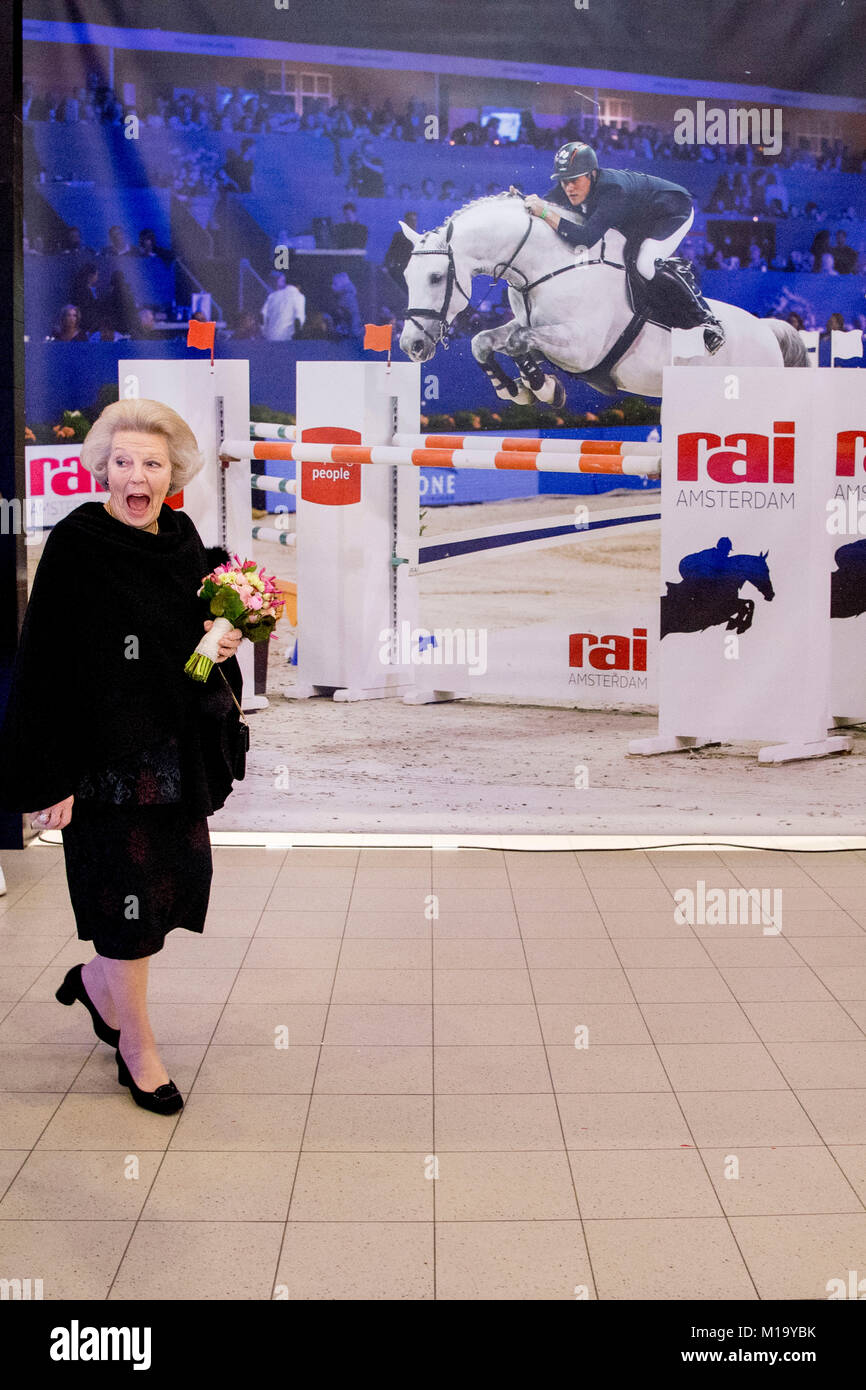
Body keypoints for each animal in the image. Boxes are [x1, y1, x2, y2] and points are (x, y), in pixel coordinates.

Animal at [397, 193, 811, 405]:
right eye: (405, 276)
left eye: (436, 277)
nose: (411, 345)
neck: (549, 265)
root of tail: (768, 331)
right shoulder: (535, 328)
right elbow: (485, 342)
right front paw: (515, 390)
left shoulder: (581, 347)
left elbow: (518, 342)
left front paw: (544, 388)